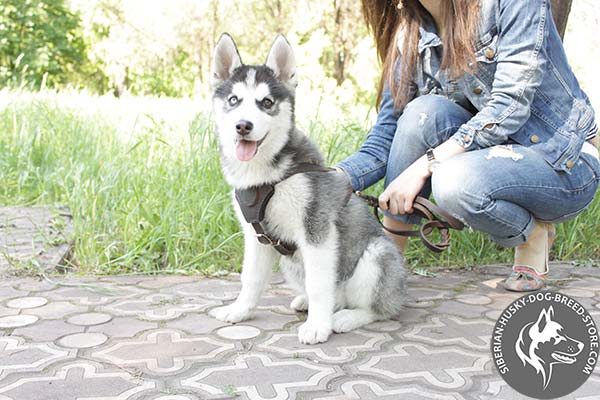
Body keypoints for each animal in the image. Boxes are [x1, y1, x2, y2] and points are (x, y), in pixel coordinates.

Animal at [207, 33, 408, 344]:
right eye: (233, 100)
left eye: (266, 102)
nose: (243, 126)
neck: (268, 177)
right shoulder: (256, 236)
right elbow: (250, 278)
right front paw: (239, 310)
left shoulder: (317, 230)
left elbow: (318, 285)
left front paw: (317, 326)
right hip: (291, 263)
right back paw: (309, 303)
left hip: (377, 257)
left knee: (380, 308)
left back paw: (346, 317)